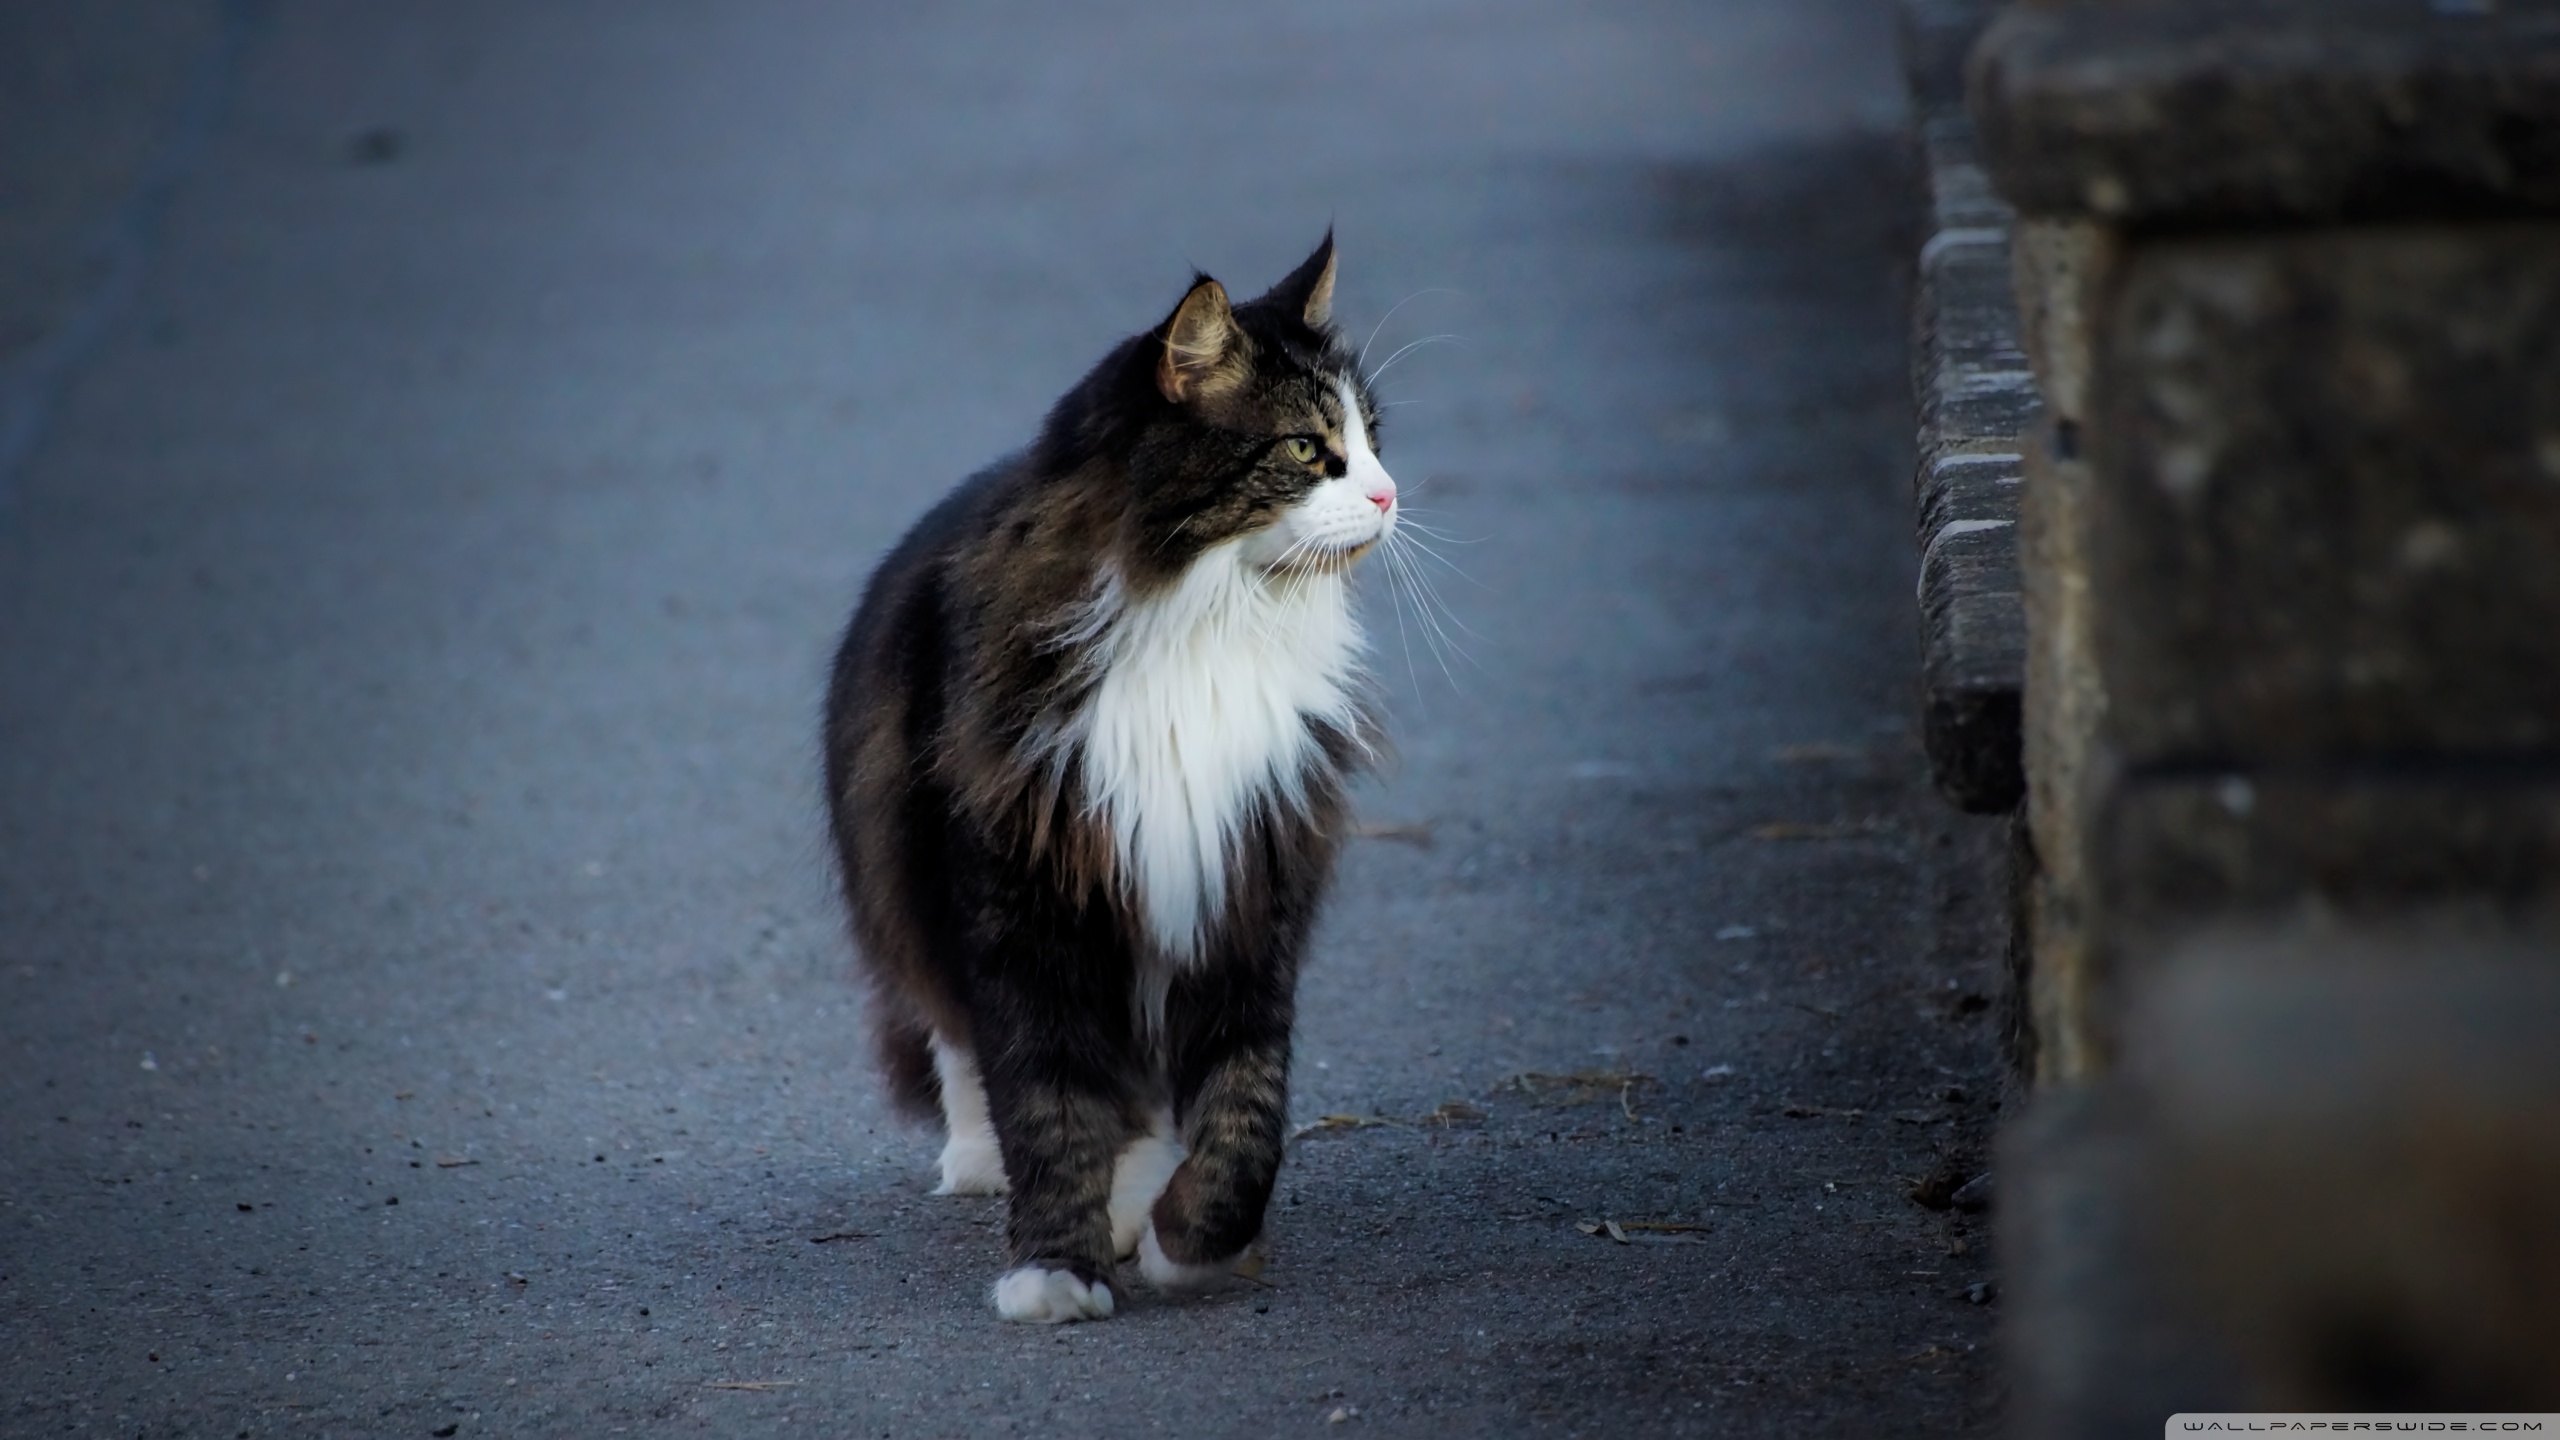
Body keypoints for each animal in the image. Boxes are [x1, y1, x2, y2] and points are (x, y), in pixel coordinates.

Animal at [824, 238, 1402, 1322]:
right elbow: (1047, 1101)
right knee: (963, 1042)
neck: (1205, 626)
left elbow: (1245, 1104)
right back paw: (989, 1166)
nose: (1390, 496)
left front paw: (1194, 1242)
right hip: (923, 886)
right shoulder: (1023, 902)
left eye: (1375, 438)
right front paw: (1056, 1271)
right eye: (1309, 451)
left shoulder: (1244, 881)